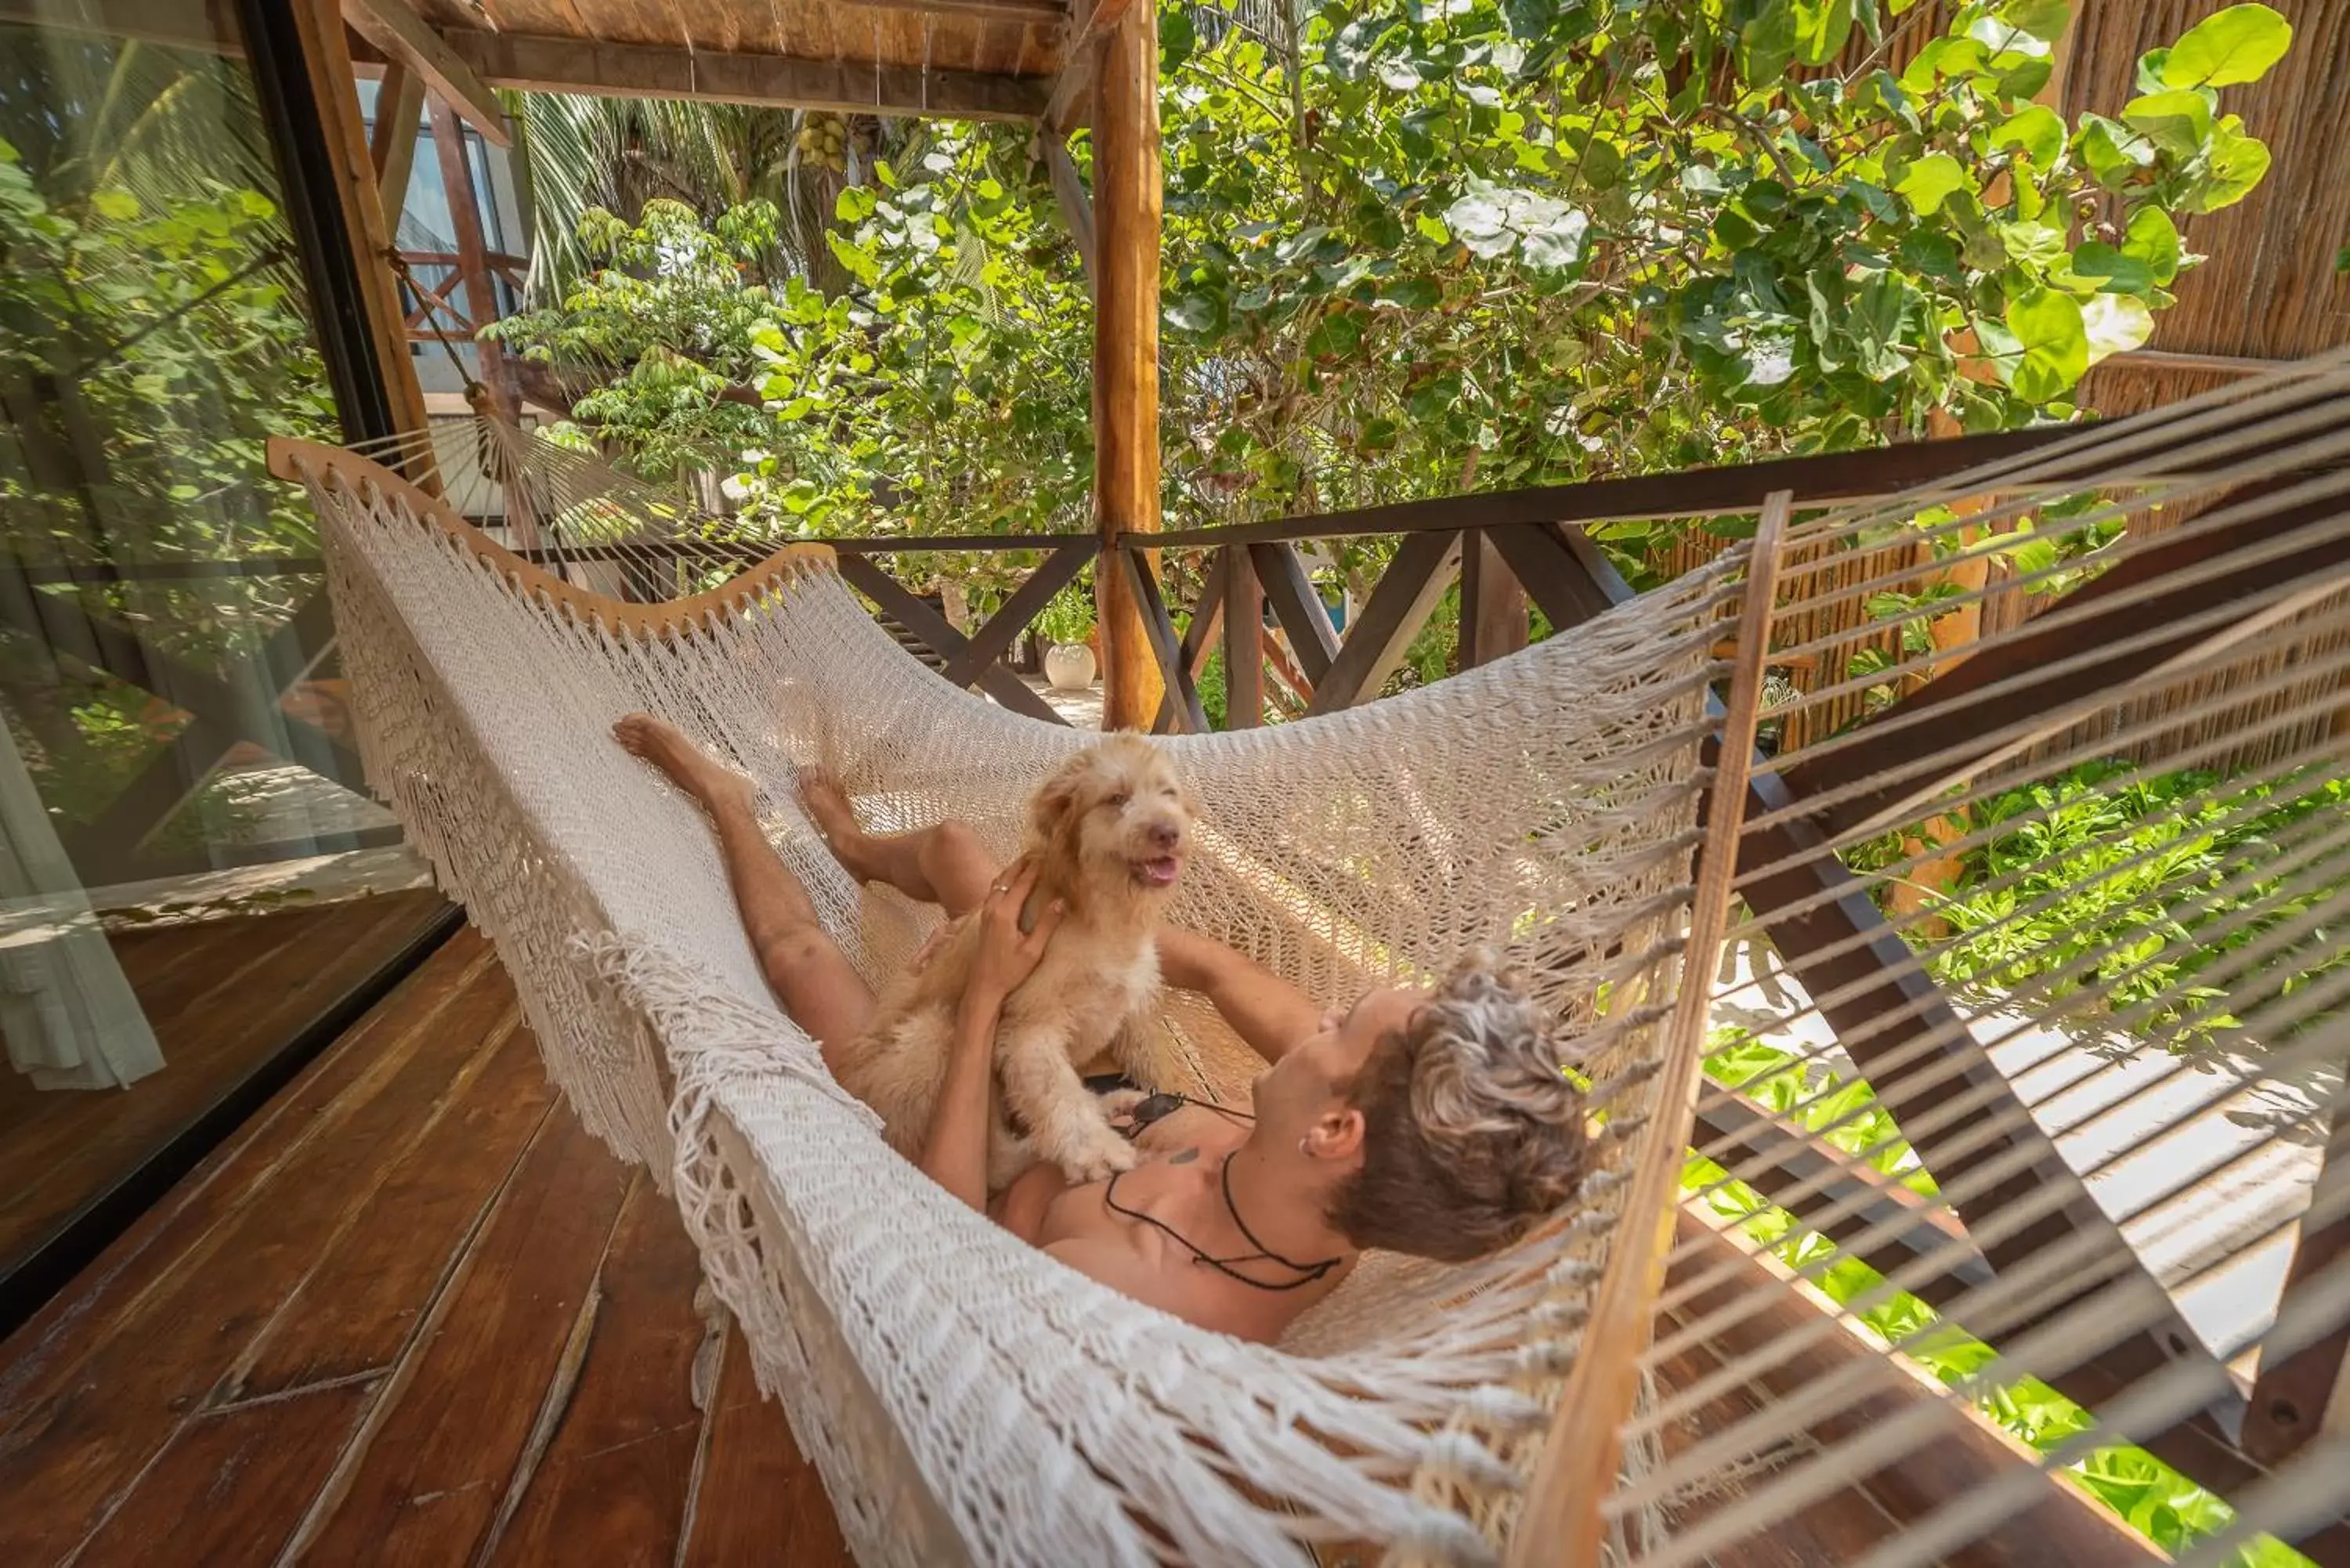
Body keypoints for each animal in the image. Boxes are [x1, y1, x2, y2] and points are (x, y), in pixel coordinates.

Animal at [841, 738, 1203, 1189]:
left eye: (1168, 793)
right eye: (1116, 798)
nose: (1169, 832)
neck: (1102, 917)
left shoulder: (1134, 1010)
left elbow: (1153, 1062)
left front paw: (1175, 1099)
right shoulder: (1029, 1026)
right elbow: (1054, 1088)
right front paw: (1094, 1148)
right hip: (932, 1035)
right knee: (994, 1165)